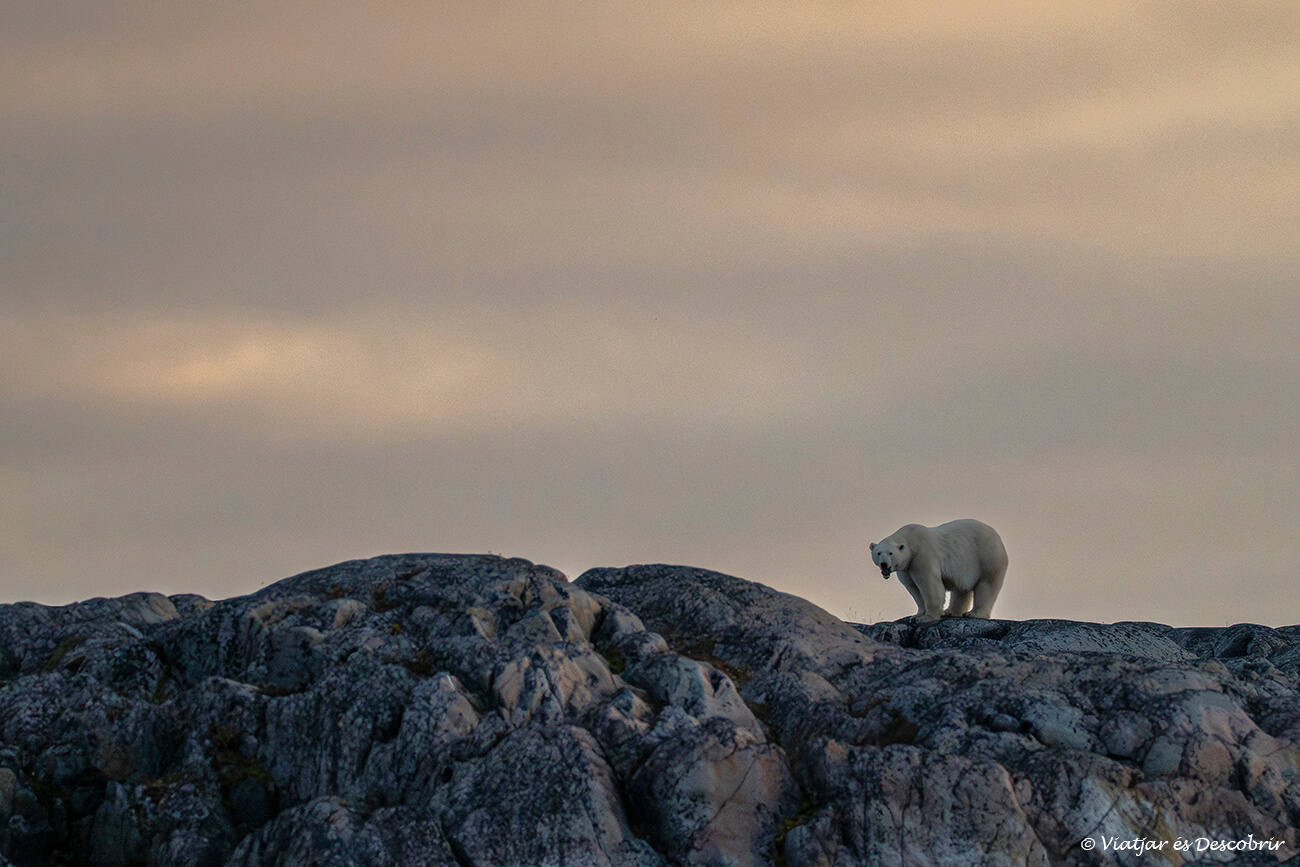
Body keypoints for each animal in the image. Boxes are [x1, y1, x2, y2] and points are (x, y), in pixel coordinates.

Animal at [870, 519, 1008, 623]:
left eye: (890, 553)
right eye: (878, 553)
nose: (884, 564)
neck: (910, 542)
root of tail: (998, 537)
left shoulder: (922, 555)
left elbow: (929, 585)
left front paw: (927, 618)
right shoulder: (906, 568)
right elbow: (913, 588)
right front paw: (917, 614)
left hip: (987, 557)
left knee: (987, 585)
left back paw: (974, 613)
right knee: (961, 589)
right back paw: (950, 611)